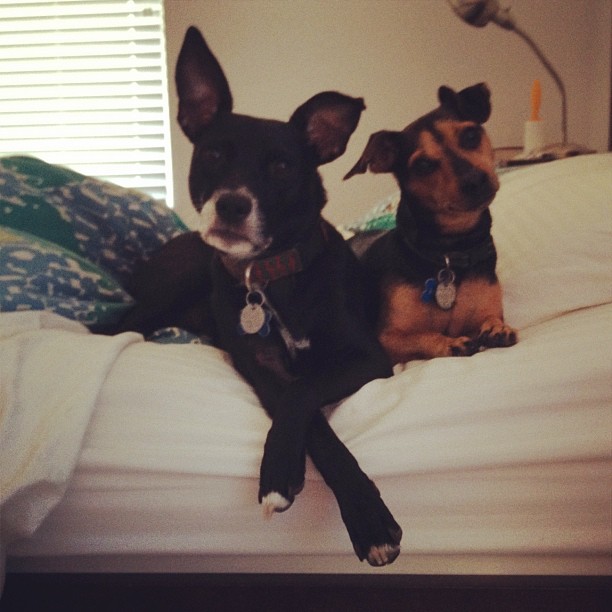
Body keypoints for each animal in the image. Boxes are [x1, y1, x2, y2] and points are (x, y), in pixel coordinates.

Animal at [119, 27, 402, 564]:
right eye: (213, 155)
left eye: (282, 166)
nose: (231, 204)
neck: (270, 278)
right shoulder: (260, 365)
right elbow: (305, 410)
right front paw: (299, 484)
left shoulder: (369, 357)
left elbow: (303, 389)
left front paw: (365, 515)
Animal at [344, 83, 516, 366]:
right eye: (423, 165)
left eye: (470, 135)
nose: (474, 180)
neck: (450, 252)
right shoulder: (387, 339)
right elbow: (425, 336)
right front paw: (450, 343)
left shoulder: (485, 310)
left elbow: (490, 318)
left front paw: (497, 328)